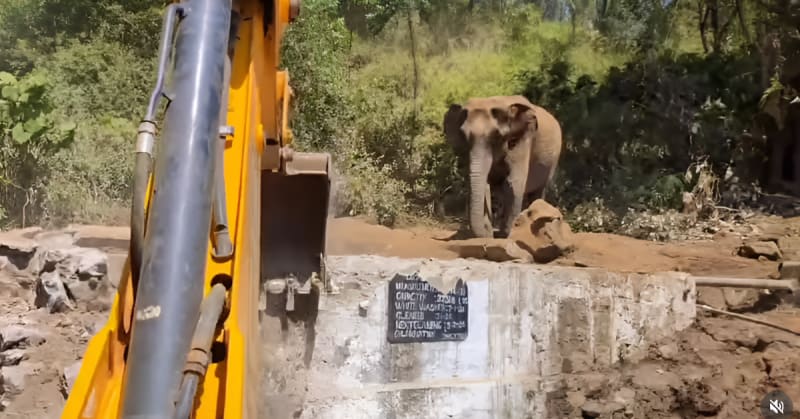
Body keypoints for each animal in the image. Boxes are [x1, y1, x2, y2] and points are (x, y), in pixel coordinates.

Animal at [443, 95, 563, 238]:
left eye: (496, 136)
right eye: (463, 135)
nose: (487, 229)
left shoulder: (522, 140)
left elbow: (512, 184)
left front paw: (507, 233)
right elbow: (485, 184)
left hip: (552, 162)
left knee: (538, 192)